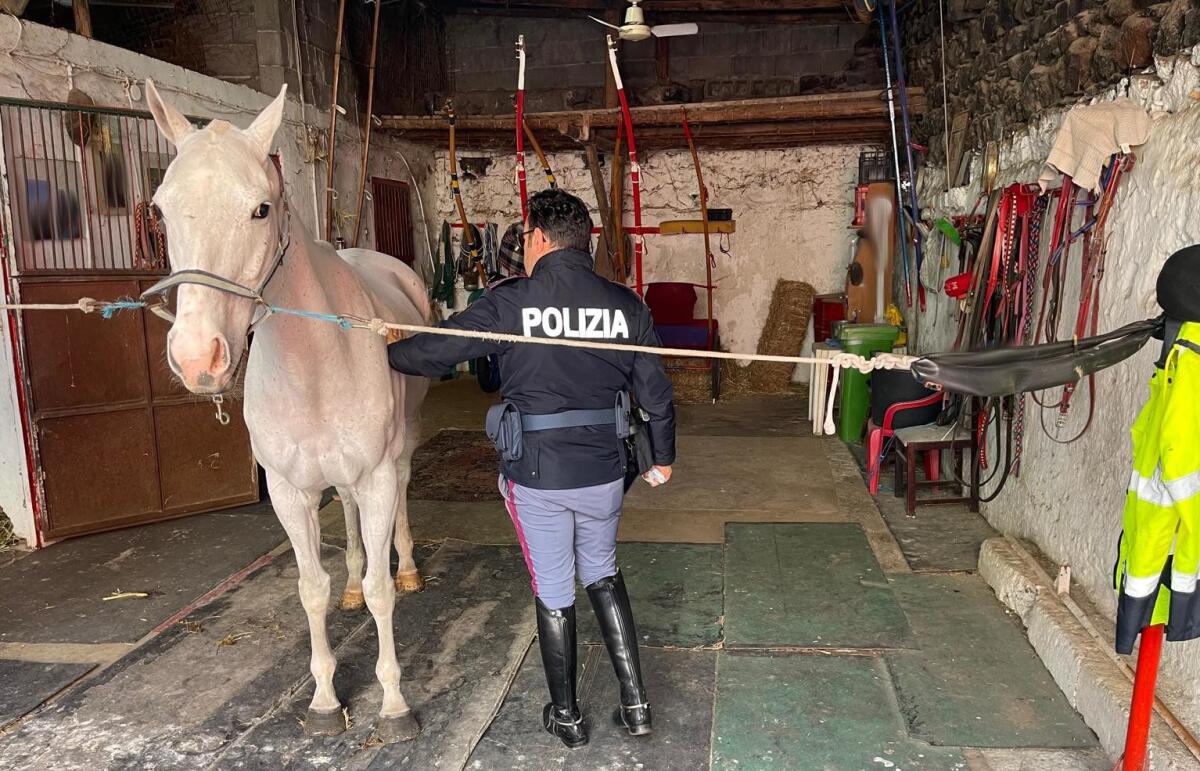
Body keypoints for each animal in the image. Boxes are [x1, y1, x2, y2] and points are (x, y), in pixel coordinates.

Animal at [144, 80, 430, 742]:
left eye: (261, 210)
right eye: (161, 209)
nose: (198, 357)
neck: (315, 364)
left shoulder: (376, 475)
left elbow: (381, 592)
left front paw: (394, 705)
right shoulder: (287, 490)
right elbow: (310, 589)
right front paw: (324, 699)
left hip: (399, 450)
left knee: (402, 496)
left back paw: (407, 567)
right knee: (346, 520)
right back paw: (350, 583)